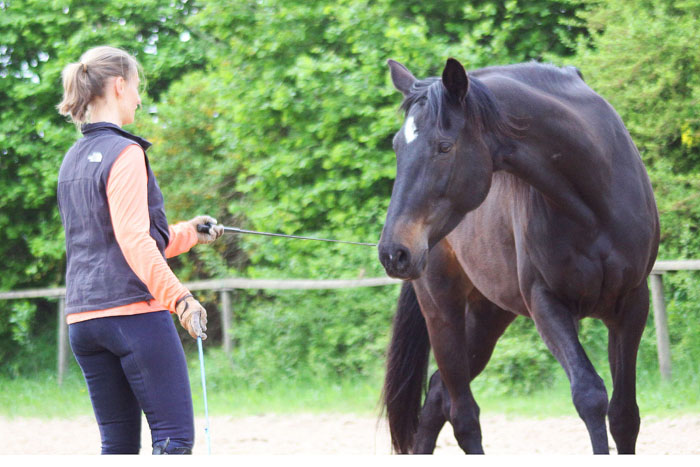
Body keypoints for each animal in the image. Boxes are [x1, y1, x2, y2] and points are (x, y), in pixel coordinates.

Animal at [378, 56, 656, 456]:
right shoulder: (547, 304)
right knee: (462, 413)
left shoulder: (632, 304)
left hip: (488, 315)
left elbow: (624, 415)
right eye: (398, 146)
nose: (393, 252)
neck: (594, 200)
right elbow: (590, 396)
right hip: (441, 308)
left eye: (444, 147)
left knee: (436, 399)